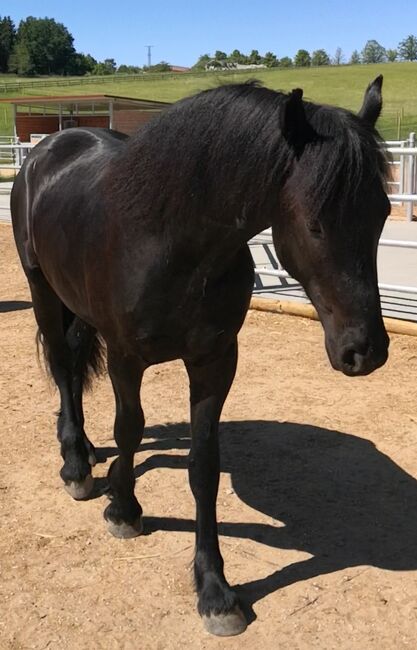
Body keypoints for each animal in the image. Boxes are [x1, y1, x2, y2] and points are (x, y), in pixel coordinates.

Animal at [11, 76, 391, 636]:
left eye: (382, 213)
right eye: (316, 223)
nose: (366, 351)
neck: (170, 242)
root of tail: (50, 146)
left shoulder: (214, 361)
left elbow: (203, 465)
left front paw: (215, 590)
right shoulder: (126, 357)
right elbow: (129, 428)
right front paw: (124, 510)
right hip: (42, 290)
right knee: (62, 368)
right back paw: (77, 463)